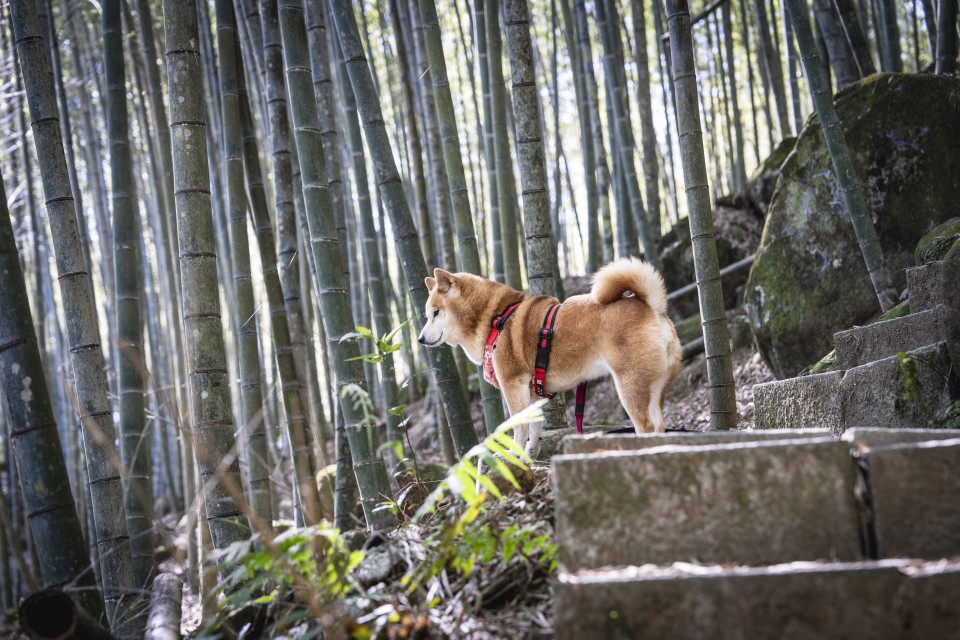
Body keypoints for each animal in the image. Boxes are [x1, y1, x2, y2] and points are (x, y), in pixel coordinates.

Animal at [418, 255, 684, 456]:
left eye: (435, 313)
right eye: (427, 315)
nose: (420, 339)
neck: (496, 318)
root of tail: (652, 307)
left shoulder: (512, 386)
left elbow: (519, 428)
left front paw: (513, 455)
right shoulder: (532, 394)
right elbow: (534, 431)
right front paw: (529, 456)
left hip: (629, 386)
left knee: (646, 427)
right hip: (656, 389)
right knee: (659, 425)